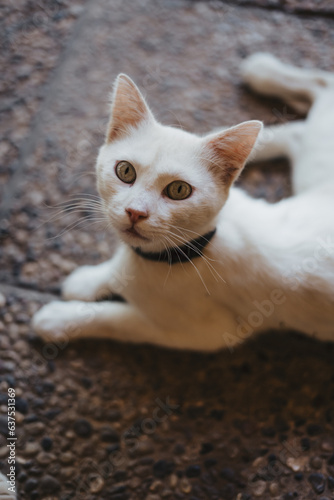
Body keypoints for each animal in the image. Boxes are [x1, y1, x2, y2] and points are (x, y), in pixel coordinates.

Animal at [32, 54, 332, 352]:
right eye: (125, 171)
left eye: (179, 190)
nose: (135, 212)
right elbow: (113, 271)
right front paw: (88, 280)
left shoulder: (206, 333)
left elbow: (115, 320)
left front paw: (59, 319)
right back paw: (258, 81)